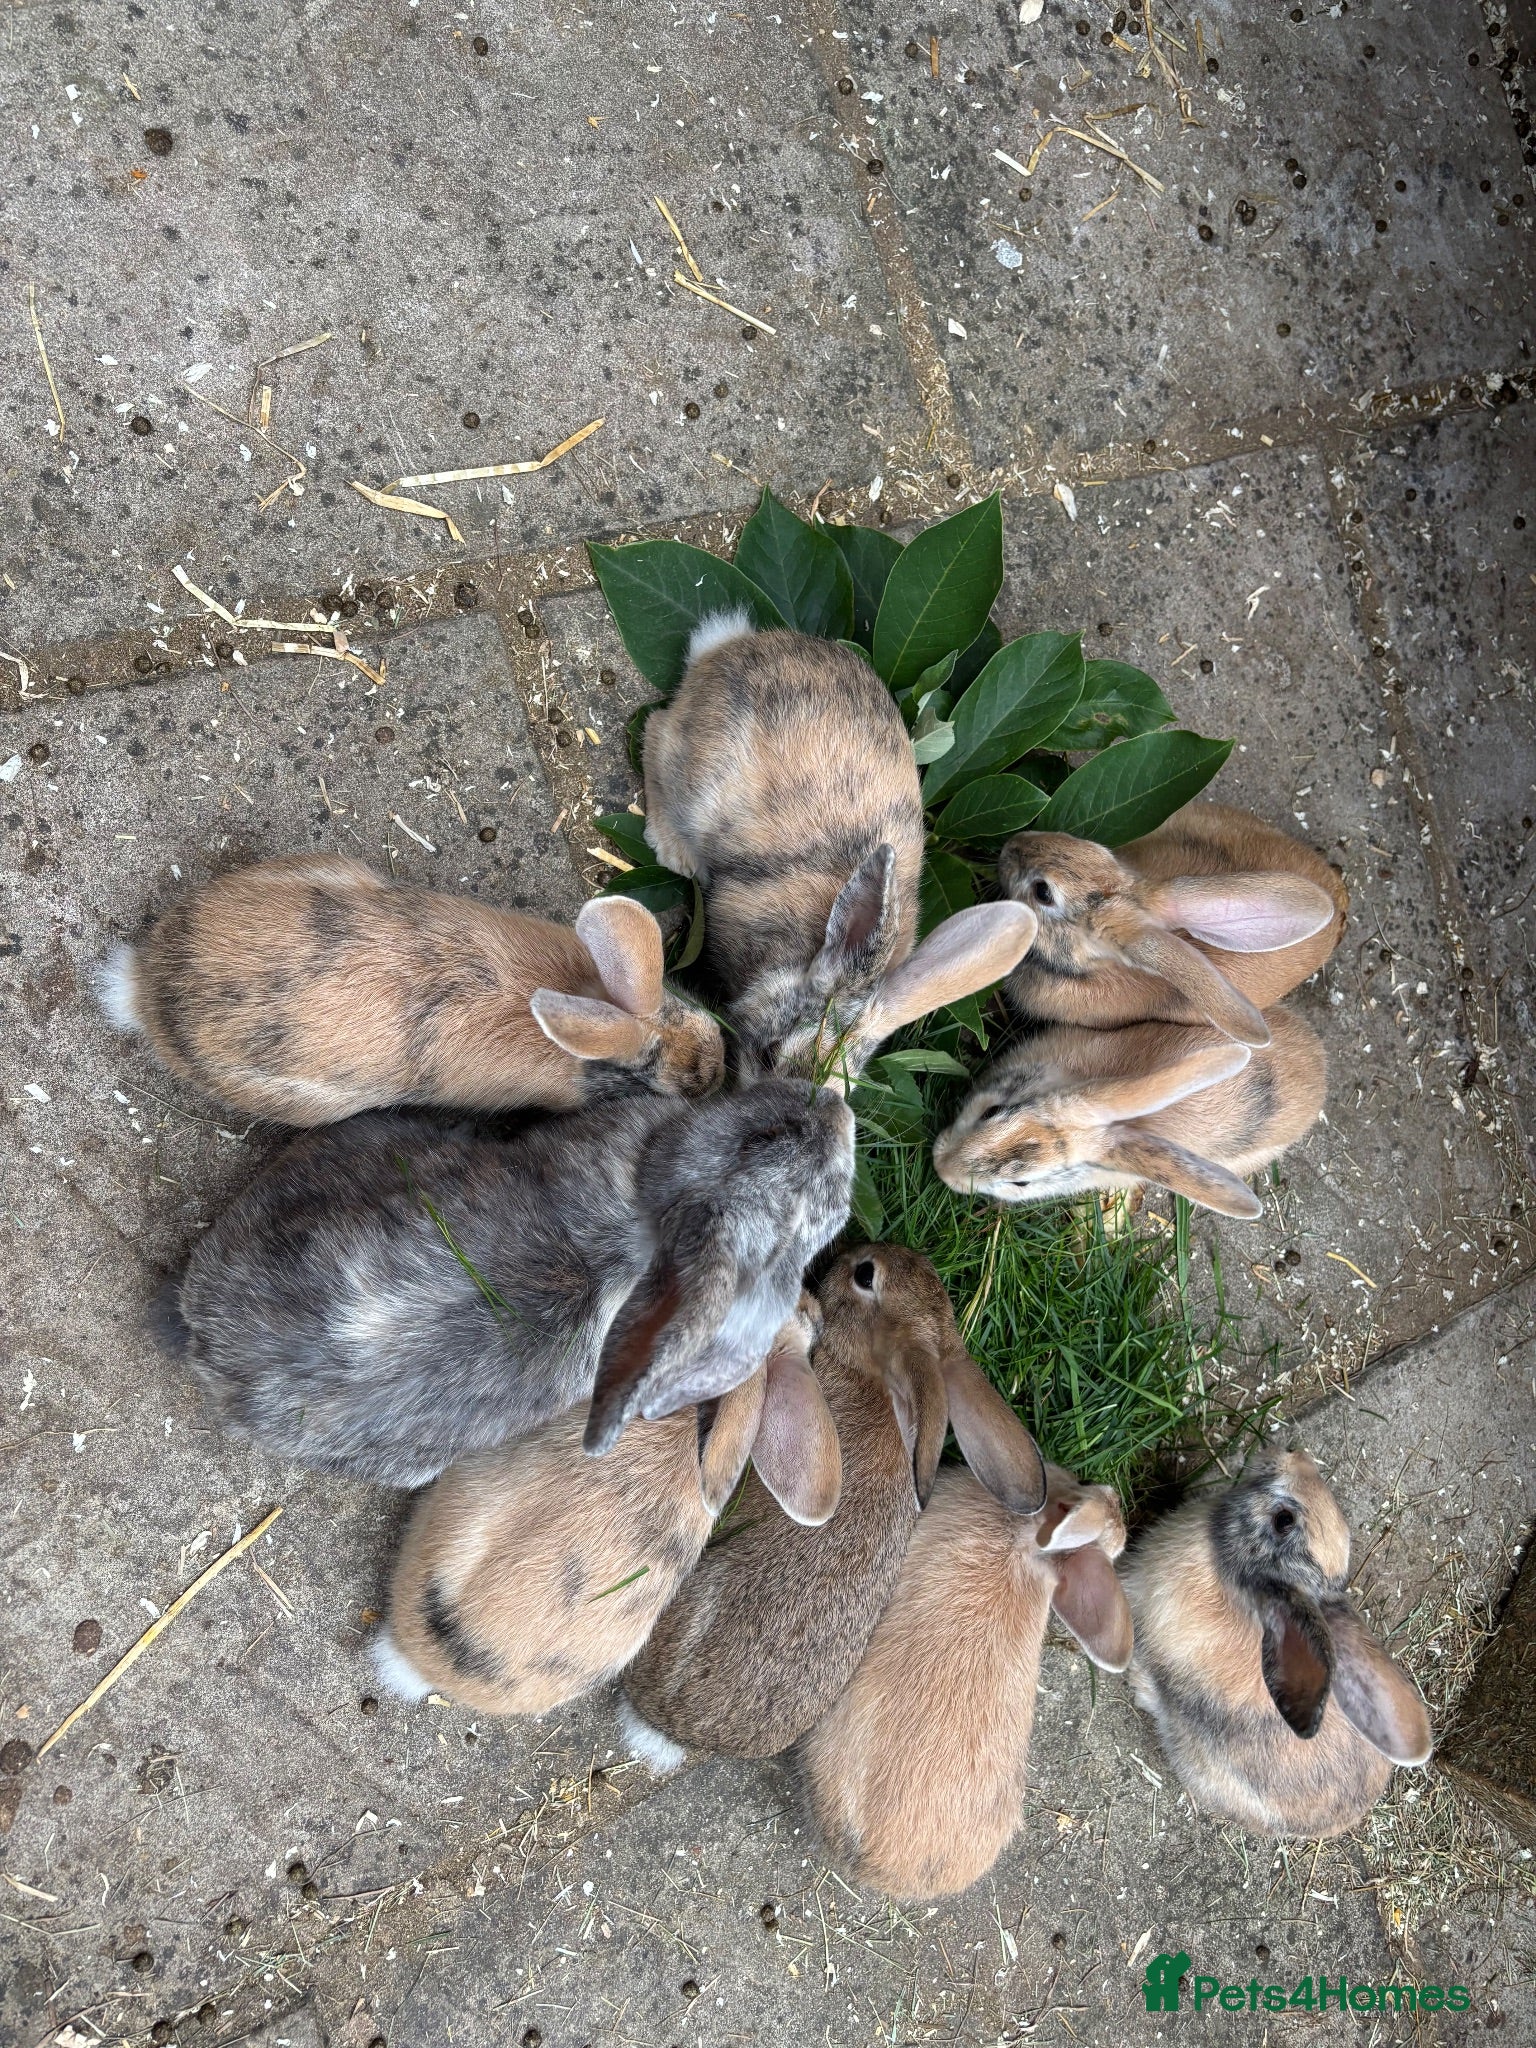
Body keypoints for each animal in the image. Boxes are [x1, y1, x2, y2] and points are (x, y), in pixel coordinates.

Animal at [641, 616, 1038, 1084]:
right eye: (771, 1055)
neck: (807, 955)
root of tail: (727, 645)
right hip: (694, 775)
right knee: (655, 730)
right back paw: (675, 851)